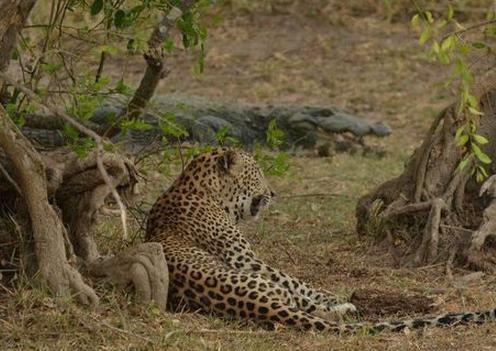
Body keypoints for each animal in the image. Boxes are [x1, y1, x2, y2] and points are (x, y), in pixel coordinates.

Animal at [145, 147, 496, 334]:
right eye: (257, 171)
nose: (273, 193)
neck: (199, 188)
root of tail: (261, 307)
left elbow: (303, 284)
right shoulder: (248, 260)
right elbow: (300, 283)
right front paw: (337, 297)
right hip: (264, 283)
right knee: (305, 304)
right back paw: (346, 308)